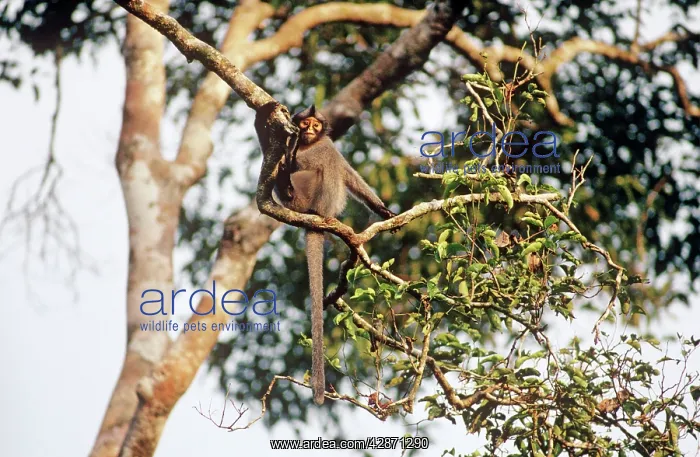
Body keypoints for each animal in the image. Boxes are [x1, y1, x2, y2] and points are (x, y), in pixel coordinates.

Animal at [275, 105, 396, 405]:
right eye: (305, 123)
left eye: (316, 125)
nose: (308, 130)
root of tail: (318, 215)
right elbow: (346, 173)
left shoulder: (324, 145)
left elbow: (340, 169)